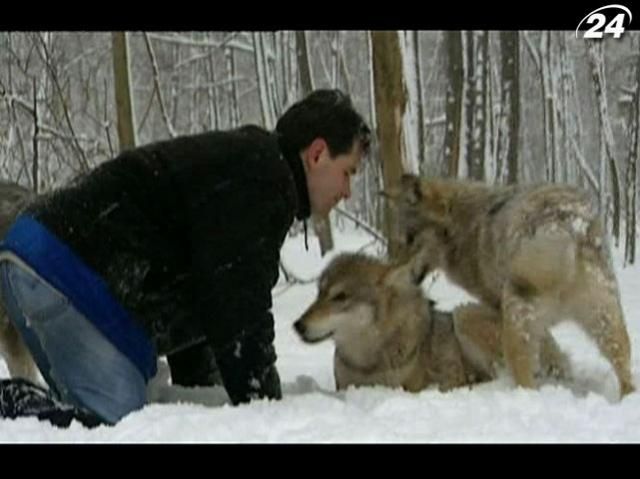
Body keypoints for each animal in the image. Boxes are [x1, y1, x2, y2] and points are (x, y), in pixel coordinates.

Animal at [292, 253, 568, 392]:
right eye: (319, 294)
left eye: (340, 297)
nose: (297, 325)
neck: (368, 360)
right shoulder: (345, 387)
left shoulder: (409, 388)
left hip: (463, 315)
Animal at [384, 174, 636, 400]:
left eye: (409, 240)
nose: (394, 271)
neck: (461, 224)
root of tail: (567, 222)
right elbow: (551, 350)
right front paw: (561, 373)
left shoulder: (497, 308)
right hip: (606, 320)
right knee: (625, 370)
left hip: (510, 323)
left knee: (525, 380)